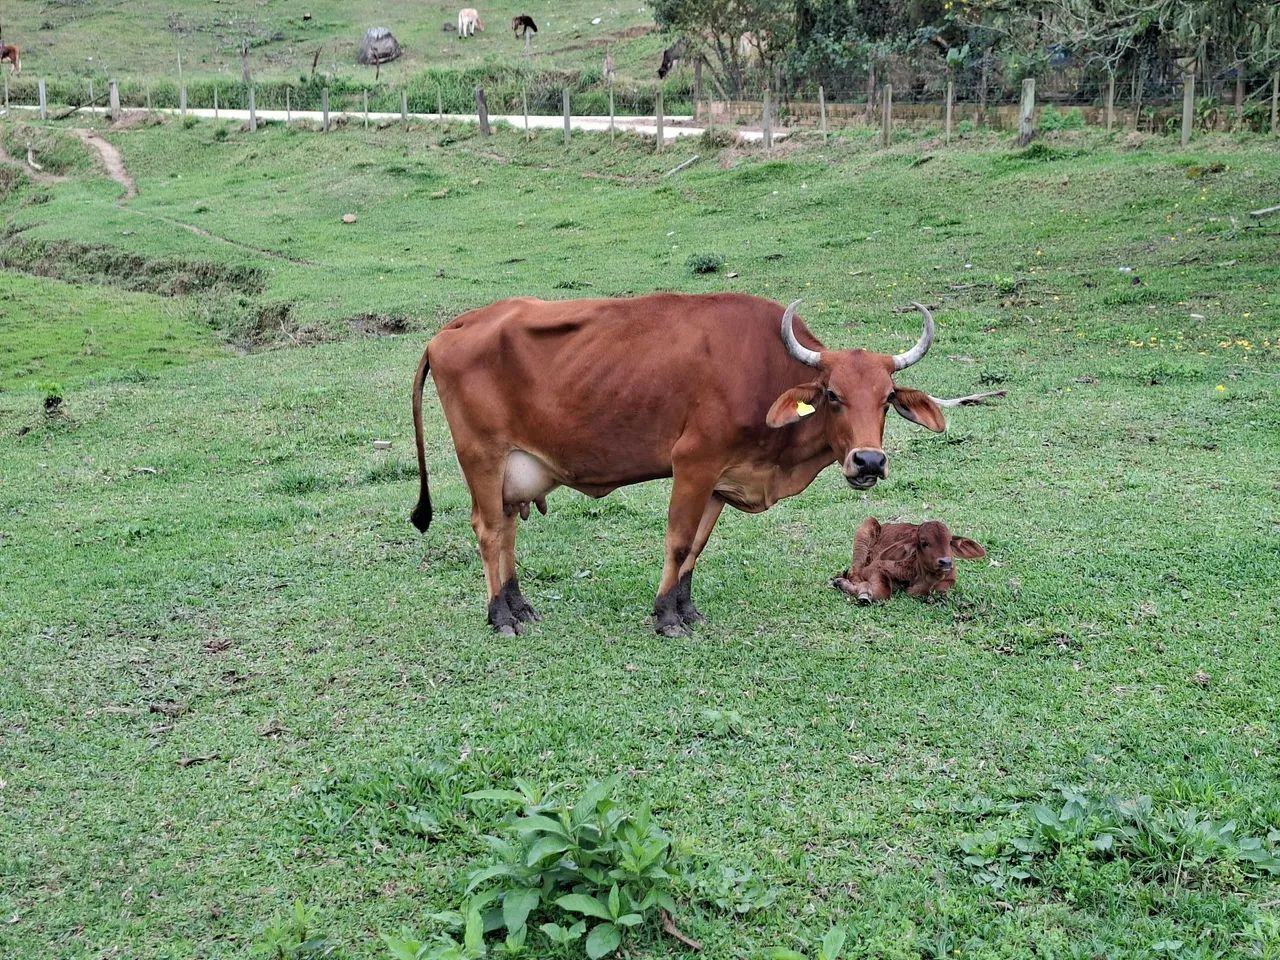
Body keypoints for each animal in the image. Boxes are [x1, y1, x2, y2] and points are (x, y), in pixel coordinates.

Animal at [833, 518, 987, 603]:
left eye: (949, 542)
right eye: (924, 543)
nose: (946, 562)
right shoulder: (874, 568)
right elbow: (884, 590)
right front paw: (862, 592)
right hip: (867, 527)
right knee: (854, 572)